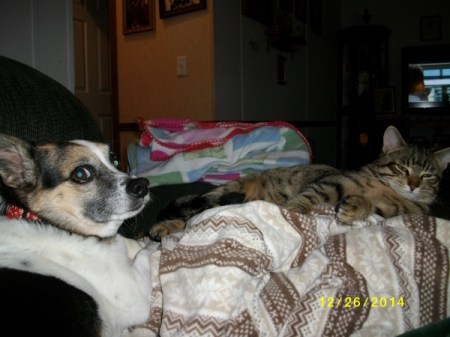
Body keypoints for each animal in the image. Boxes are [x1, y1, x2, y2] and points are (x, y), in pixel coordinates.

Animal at [150, 125, 450, 239]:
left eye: (428, 175)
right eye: (401, 167)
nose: (413, 184)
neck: (390, 193)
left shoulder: (389, 212)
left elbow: (368, 206)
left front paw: (353, 208)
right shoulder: (332, 181)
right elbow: (306, 199)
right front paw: (294, 212)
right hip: (225, 192)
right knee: (194, 211)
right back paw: (162, 227)